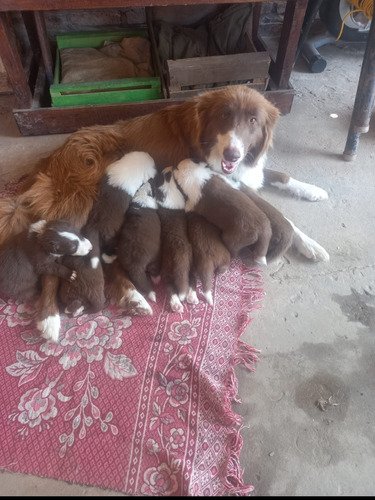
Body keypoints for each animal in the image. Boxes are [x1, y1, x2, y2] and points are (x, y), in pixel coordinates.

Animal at [0, 87, 328, 344]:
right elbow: (283, 215)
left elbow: (279, 177)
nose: (232, 155)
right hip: (79, 206)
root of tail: (51, 158)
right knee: (56, 261)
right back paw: (51, 318)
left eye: (252, 121)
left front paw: (312, 207)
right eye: (224, 116)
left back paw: (133, 297)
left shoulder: (245, 172)